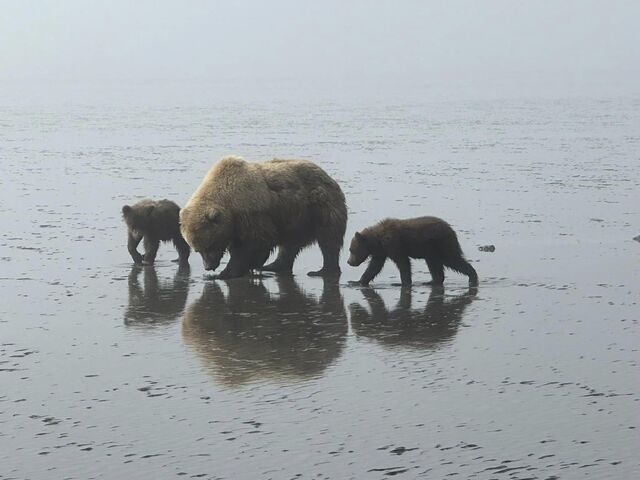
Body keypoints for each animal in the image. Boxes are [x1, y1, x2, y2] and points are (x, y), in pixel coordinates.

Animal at [180, 156, 348, 280]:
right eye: (197, 249)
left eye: (210, 245)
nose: (208, 266)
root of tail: (326, 175)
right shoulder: (236, 225)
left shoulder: (251, 212)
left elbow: (256, 242)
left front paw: (226, 272)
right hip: (294, 218)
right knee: (289, 245)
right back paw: (274, 266)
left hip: (319, 206)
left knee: (329, 239)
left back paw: (323, 270)